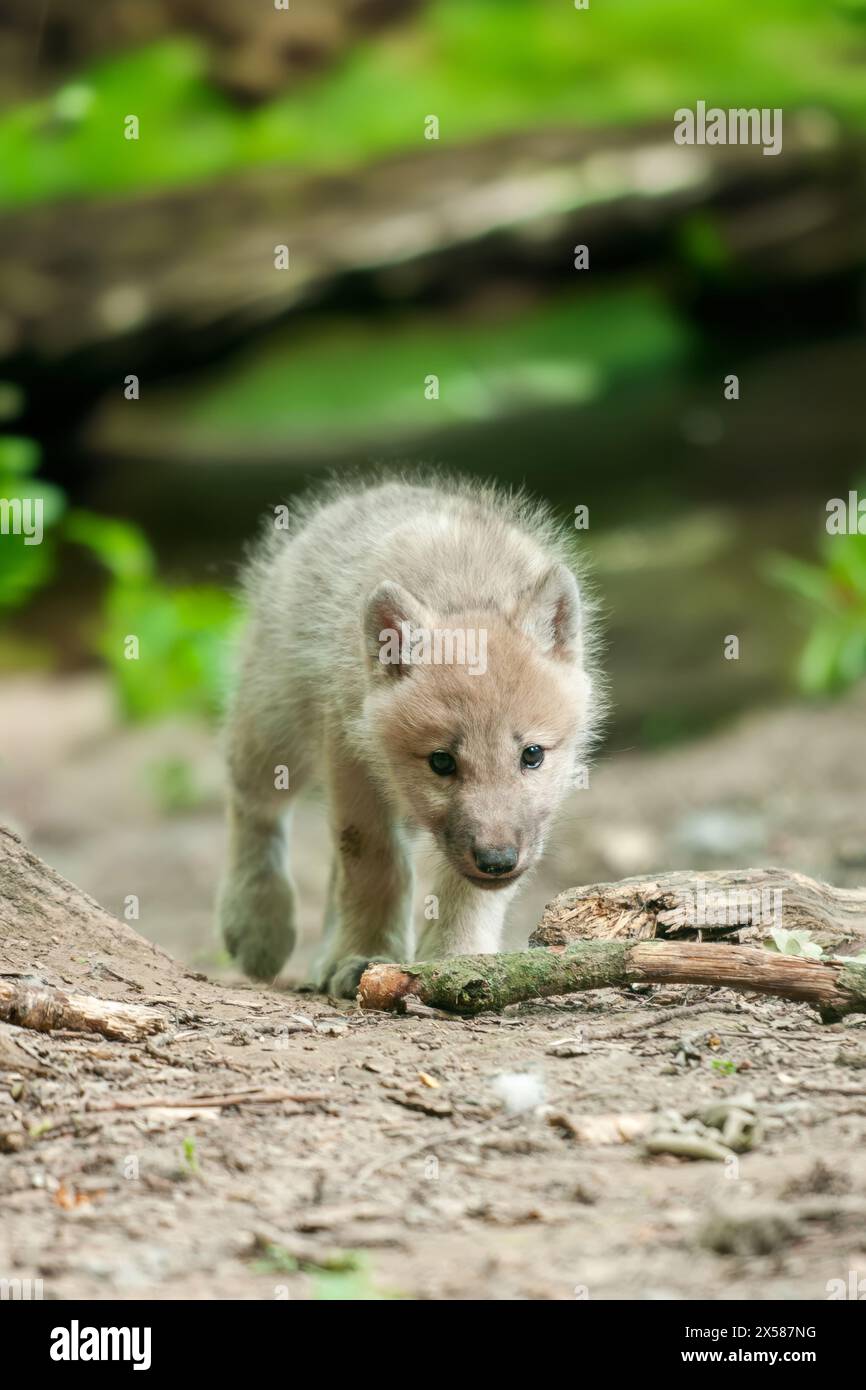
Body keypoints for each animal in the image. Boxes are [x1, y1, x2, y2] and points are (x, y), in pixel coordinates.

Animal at [218, 474, 602, 997]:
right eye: (441, 761)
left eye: (532, 755)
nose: (497, 861)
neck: (465, 588)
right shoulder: (350, 757)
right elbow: (374, 865)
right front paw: (367, 955)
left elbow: (459, 891)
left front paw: (458, 959)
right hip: (276, 727)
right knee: (254, 804)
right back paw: (258, 924)